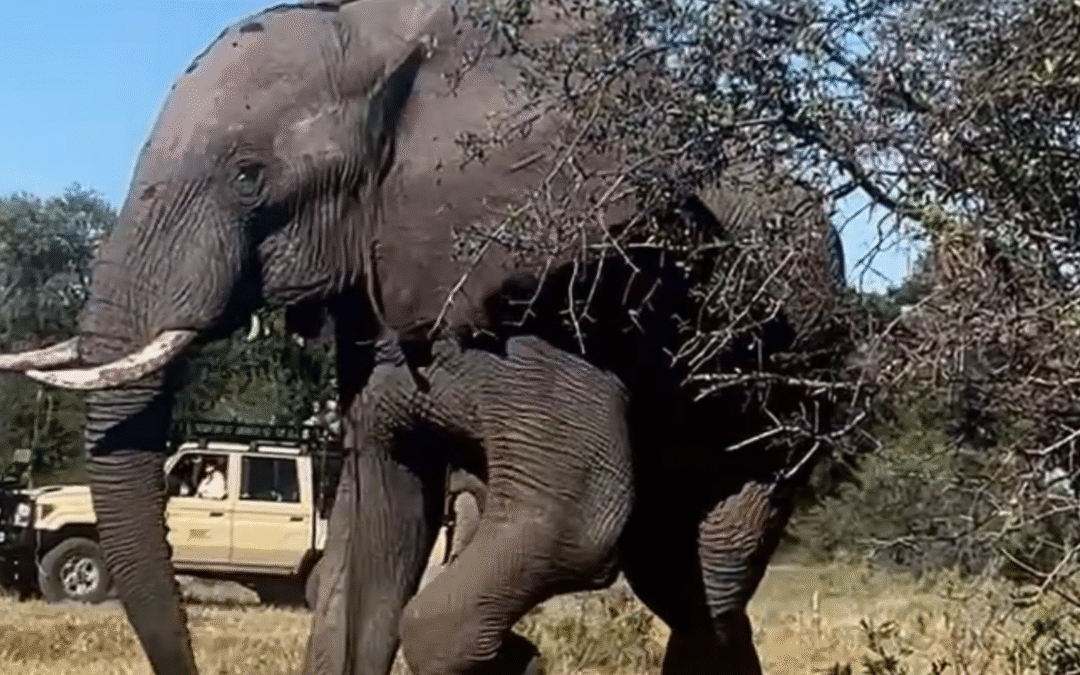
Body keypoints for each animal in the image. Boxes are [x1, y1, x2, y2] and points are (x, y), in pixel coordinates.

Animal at [0, 2, 854, 675]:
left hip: (793, 396)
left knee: (698, 576)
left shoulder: (557, 308)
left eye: (248, 175)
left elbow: (576, 516)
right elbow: (375, 536)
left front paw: (515, 657)